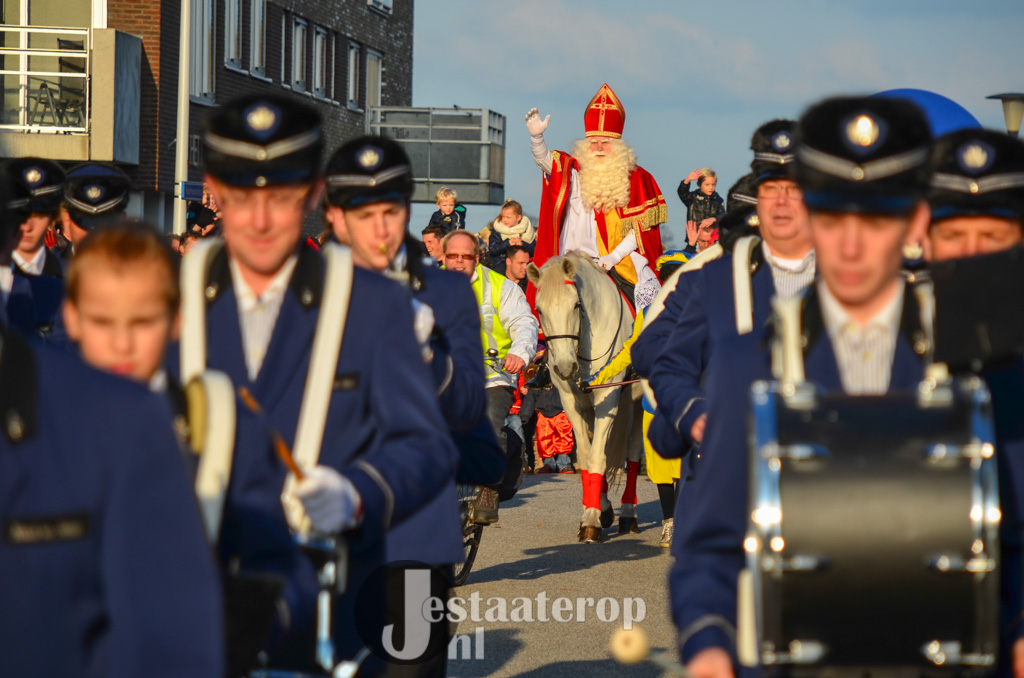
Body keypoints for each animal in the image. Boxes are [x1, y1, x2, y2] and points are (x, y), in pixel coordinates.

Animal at [527, 253, 645, 543]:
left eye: (575, 305)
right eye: (540, 310)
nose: (564, 367)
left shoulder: (608, 398)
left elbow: (597, 457)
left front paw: (591, 520)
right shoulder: (573, 402)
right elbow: (586, 453)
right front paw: (596, 511)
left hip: (637, 402)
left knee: (633, 452)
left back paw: (628, 514)